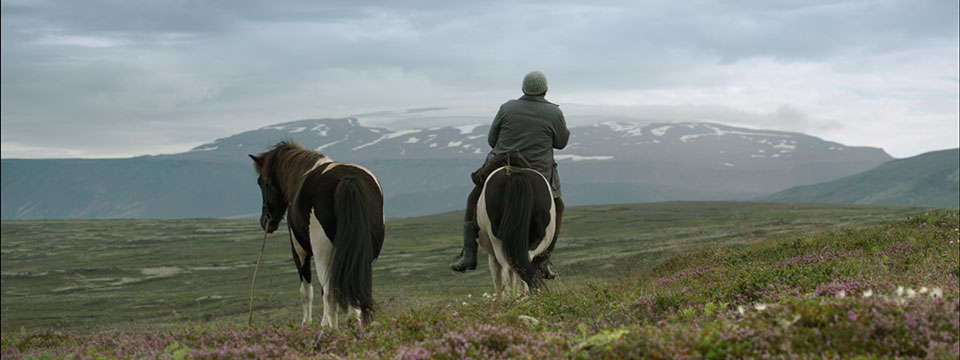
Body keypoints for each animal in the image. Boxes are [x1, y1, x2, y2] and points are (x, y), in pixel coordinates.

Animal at [249, 141, 384, 330]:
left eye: (262, 182)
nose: (265, 221)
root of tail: (349, 179)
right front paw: (327, 322)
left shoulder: (299, 251)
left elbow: (307, 291)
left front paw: (308, 323)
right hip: (365, 253)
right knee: (357, 285)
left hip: (323, 252)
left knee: (330, 292)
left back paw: (333, 331)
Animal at [474, 152, 556, 296]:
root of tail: (516, 174)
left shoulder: (492, 256)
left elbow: (498, 279)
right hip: (538, 239)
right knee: (523, 265)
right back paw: (526, 296)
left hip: (499, 242)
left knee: (509, 269)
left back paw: (513, 297)